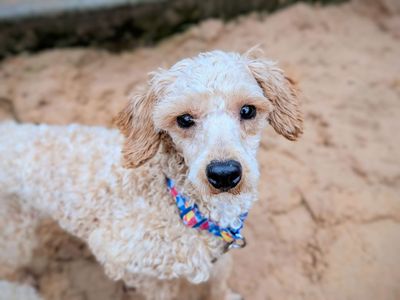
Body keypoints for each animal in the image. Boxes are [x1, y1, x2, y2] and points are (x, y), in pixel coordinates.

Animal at [0, 50, 302, 298]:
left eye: (248, 110)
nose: (224, 174)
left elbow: (219, 284)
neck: (178, 201)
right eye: (184, 119)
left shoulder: (220, 254)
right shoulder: (122, 258)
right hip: (15, 236)